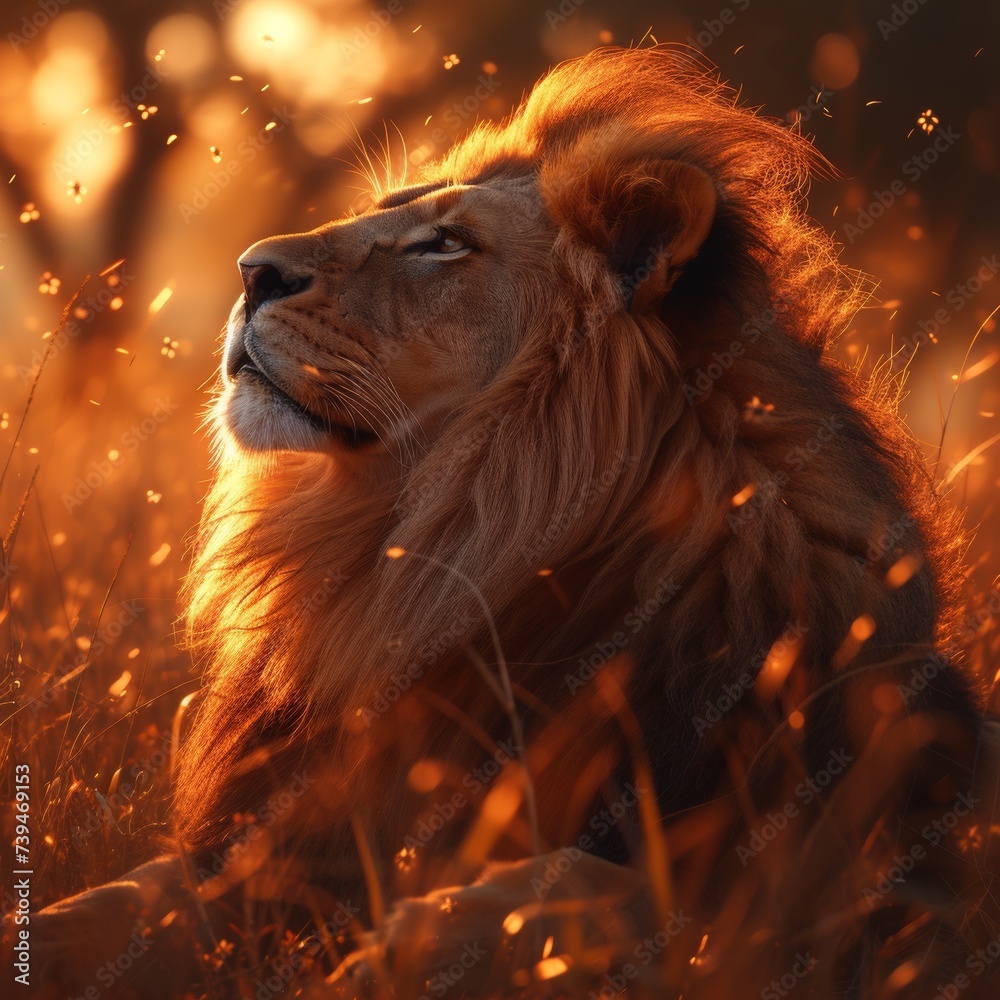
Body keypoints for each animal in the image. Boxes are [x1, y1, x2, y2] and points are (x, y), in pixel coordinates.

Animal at [18, 45, 999, 999]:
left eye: (444, 244)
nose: (249, 270)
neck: (420, 561)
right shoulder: (279, 840)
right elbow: (123, 902)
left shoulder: (840, 894)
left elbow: (608, 893)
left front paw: (398, 953)